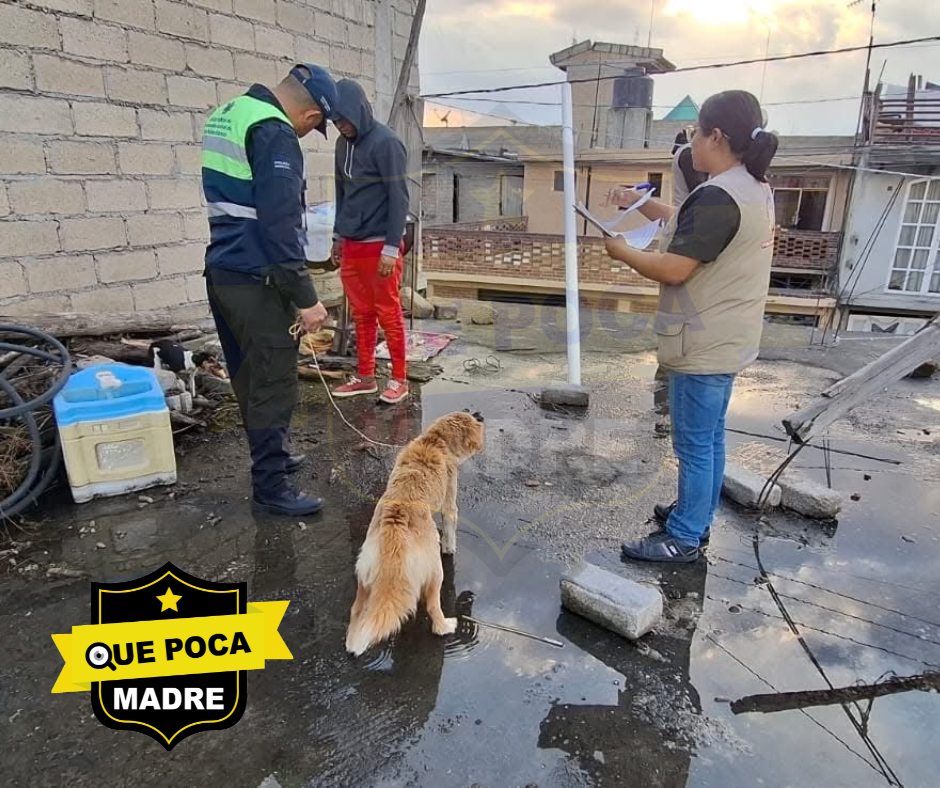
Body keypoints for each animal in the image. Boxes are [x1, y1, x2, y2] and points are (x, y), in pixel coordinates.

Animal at [345, 410, 485, 656]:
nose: (479, 416)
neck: (434, 440)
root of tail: (395, 535)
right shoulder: (450, 502)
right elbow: (450, 529)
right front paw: (450, 548)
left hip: (364, 578)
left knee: (356, 612)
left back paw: (355, 643)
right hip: (436, 572)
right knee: (434, 610)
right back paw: (446, 625)